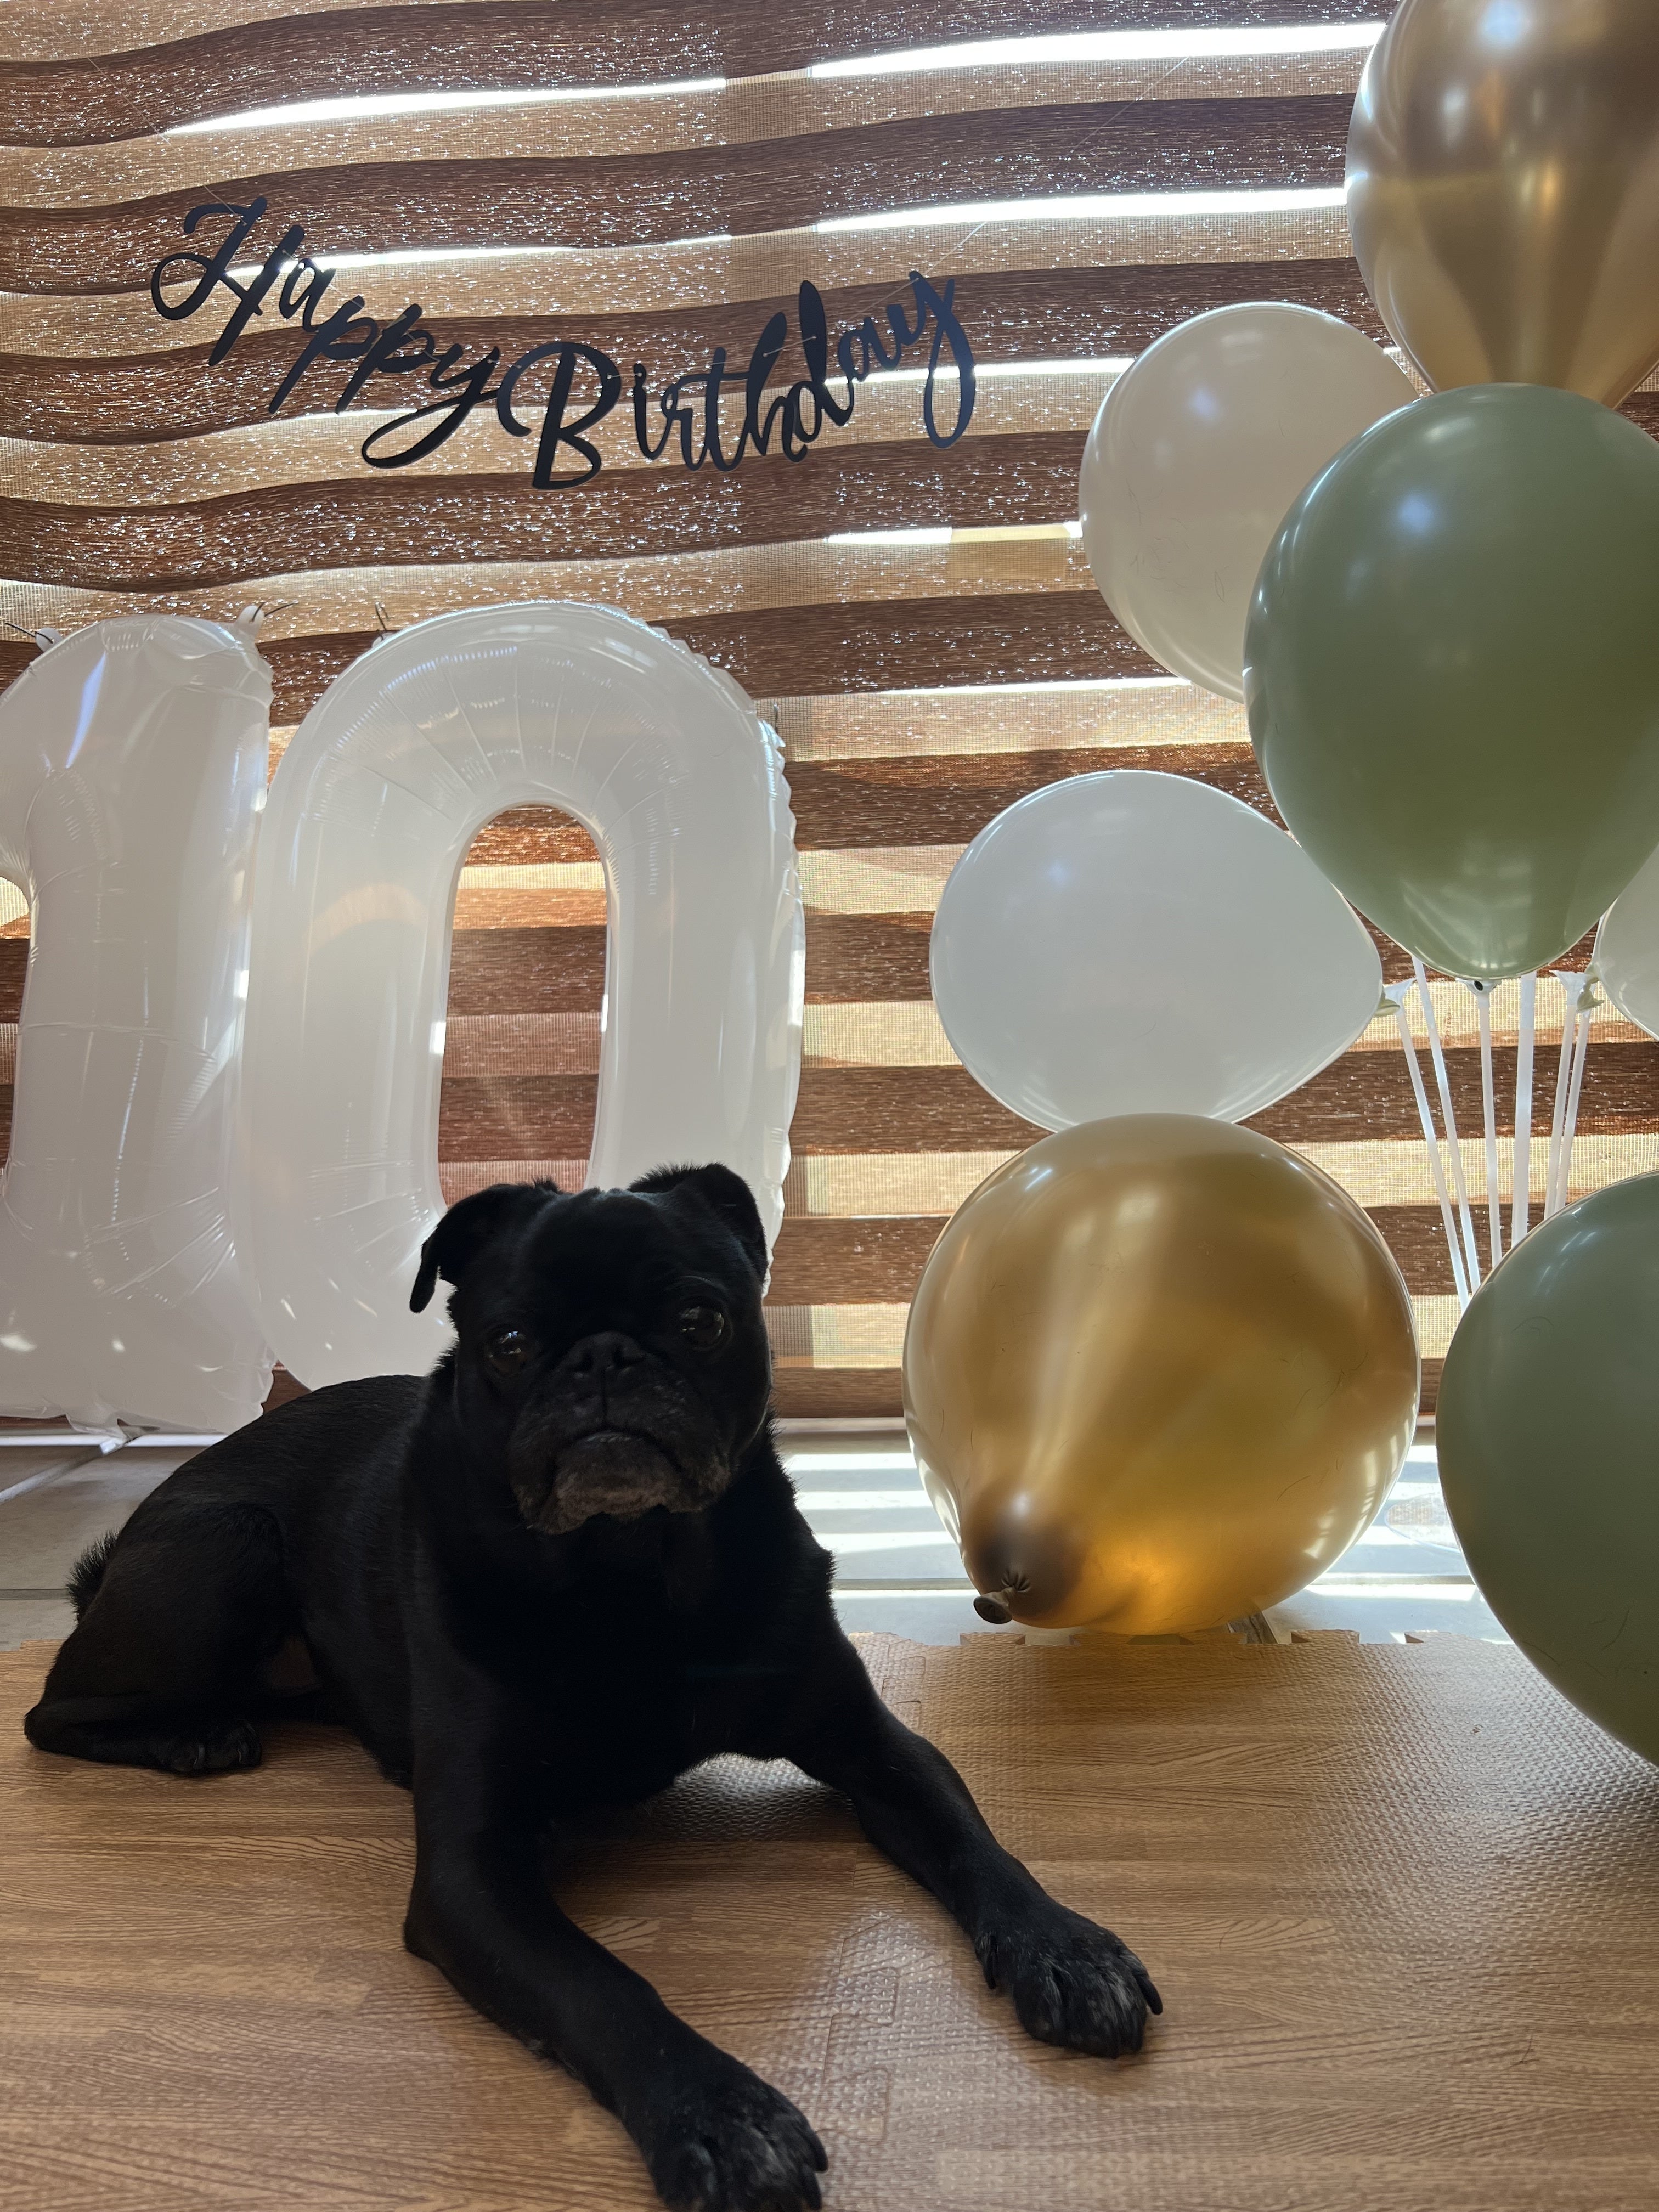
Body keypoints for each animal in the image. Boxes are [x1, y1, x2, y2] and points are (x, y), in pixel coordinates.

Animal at [25, 1165, 1159, 2211]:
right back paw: (194, 1736)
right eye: (510, 1342)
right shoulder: (471, 1877)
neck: (631, 1568)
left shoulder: (874, 1748)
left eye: (699, 1320)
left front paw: (1065, 1946)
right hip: (229, 1550)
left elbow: (977, 1843)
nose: (606, 1358)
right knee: (50, 1712)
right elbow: (604, 1986)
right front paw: (721, 2116)